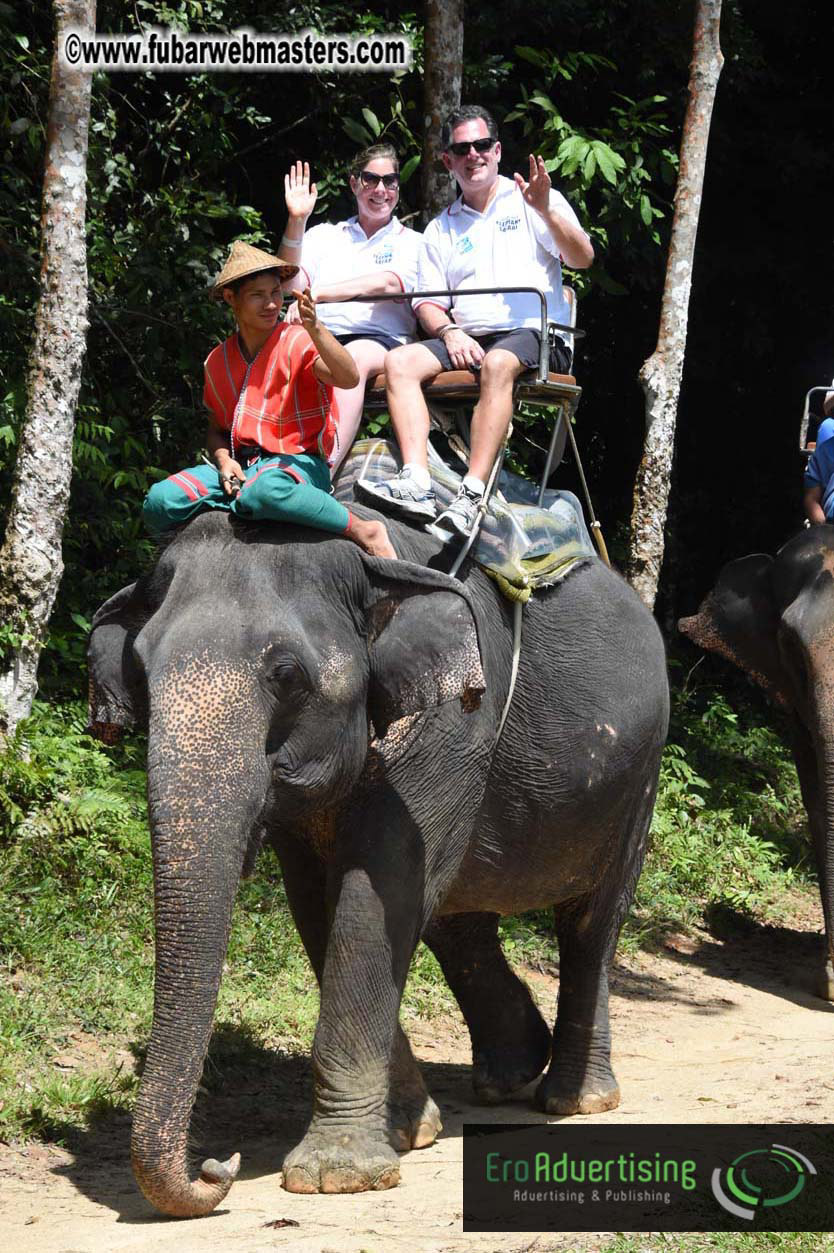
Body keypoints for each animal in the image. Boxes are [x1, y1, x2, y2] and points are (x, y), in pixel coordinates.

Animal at [88, 504, 669, 1219]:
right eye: (140, 671)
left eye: (286, 675)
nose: (215, 1166)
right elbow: (320, 903)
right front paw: (408, 1133)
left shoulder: (453, 724)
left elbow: (374, 892)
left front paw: (336, 1174)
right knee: (458, 917)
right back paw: (507, 1075)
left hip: (639, 776)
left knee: (590, 924)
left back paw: (575, 1099)